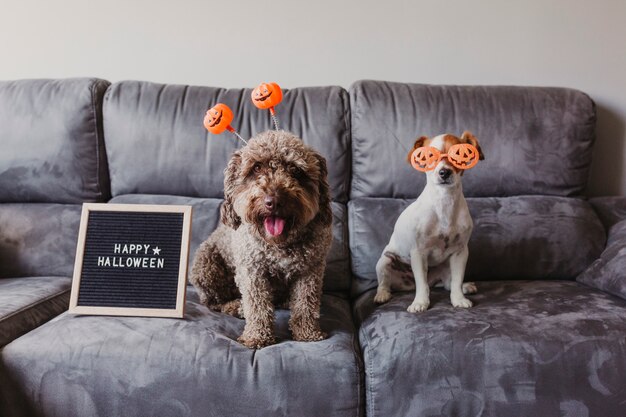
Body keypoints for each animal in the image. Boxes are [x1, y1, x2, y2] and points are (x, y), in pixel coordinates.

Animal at [189, 130, 332, 348]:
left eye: (295, 170)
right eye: (256, 168)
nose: (274, 201)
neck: (279, 244)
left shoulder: (310, 270)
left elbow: (305, 304)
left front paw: (308, 333)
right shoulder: (252, 271)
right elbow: (257, 306)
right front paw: (257, 336)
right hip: (206, 264)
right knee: (214, 301)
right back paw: (235, 307)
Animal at [372, 132, 480, 310]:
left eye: (458, 155)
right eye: (429, 156)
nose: (444, 172)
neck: (444, 201)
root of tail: (408, 284)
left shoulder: (460, 252)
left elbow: (457, 280)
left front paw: (458, 299)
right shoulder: (419, 253)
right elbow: (422, 285)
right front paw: (420, 302)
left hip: (445, 266)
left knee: (448, 283)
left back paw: (465, 287)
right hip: (385, 261)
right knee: (385, 283)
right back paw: (382, 295)